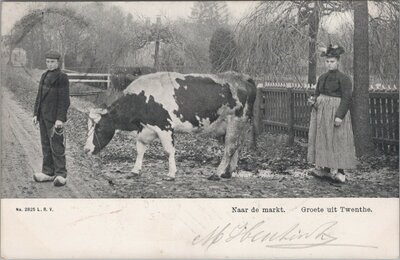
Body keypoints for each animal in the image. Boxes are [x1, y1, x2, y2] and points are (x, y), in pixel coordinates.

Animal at [83, 71, 256, 181]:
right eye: (88, 126)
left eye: (99, 127)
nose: (86, 150)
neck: (143, 98)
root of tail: (243, 77)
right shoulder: (145, 129)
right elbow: (140, 150)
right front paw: (135, 171)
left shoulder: (164, 127)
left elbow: (168, 151)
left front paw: (171, 174)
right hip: (232, 126)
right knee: (236, 146)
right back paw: (228, 173)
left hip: (236, 120)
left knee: (229, 148)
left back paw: (217, 173)